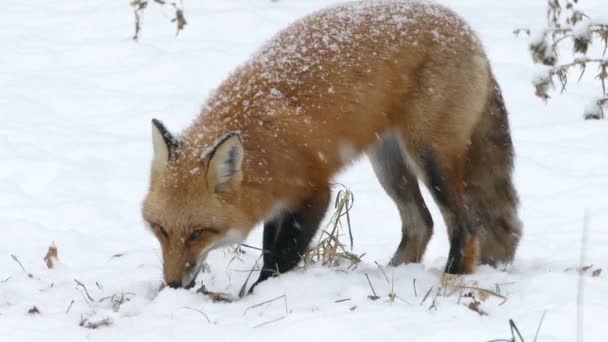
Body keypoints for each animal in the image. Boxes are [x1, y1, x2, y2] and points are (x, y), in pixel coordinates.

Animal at [141, 0, 524, 290]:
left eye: (198, 233)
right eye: (160, 229)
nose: (172, 285)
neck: (261, 134)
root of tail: (465, 27)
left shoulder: (314, 192)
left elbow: (281, 257)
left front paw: (256, 295)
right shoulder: (278, 204)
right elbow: (269, 250)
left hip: (429, 158)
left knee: (465, 227)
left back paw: (451, 278)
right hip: (389, 165)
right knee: (422, 224)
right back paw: (393, 273)